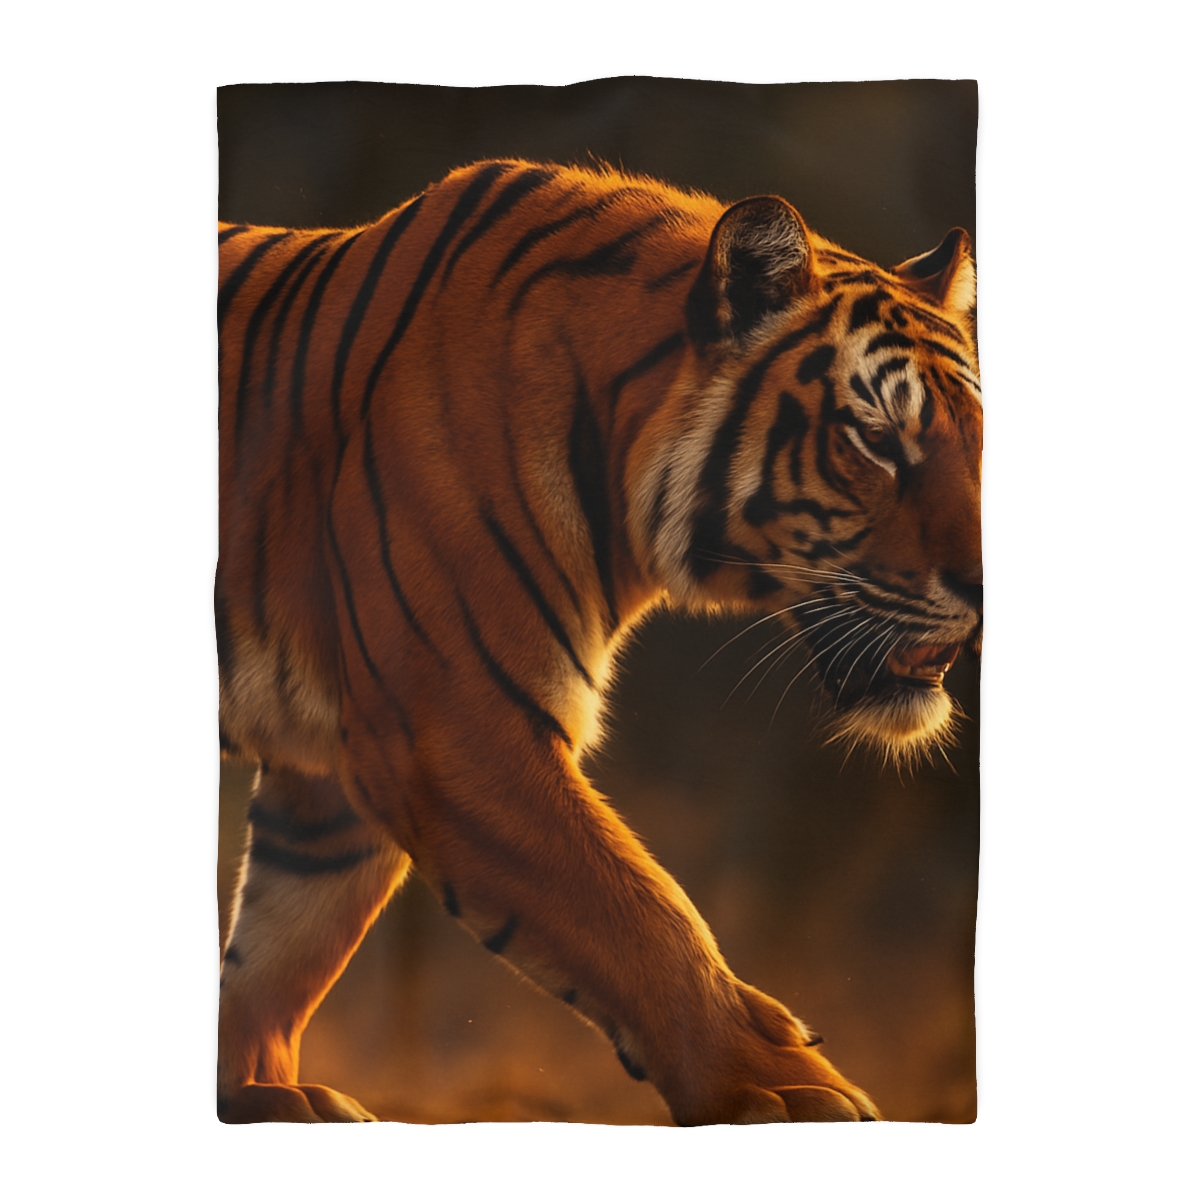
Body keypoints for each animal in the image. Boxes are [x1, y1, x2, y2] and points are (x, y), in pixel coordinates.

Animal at [216, 158, 982, 1125]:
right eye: (877, 439)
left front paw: (258, 1093)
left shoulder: (330, 774)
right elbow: (642, 915)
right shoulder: (458, 730)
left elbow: (282, 946)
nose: (988, 588)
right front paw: (785, 1089)